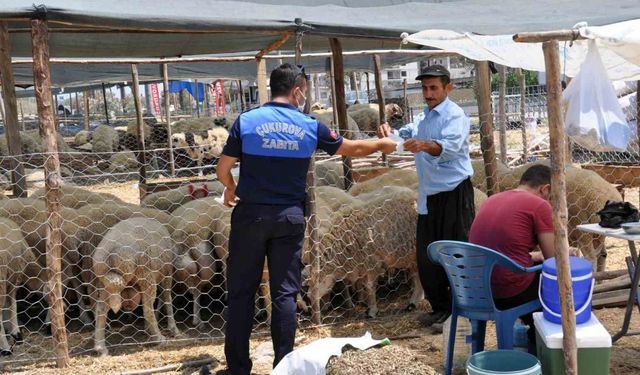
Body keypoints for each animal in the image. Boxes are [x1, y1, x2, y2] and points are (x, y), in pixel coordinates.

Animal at [92, 216, 179, 356]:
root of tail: (109, 255)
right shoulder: (167, 272)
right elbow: (167, 298)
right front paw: (172, 328)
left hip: (105, 284)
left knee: (100, 310)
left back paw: (100, 347)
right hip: (145, 274)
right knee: (147, 309)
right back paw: (158, 338)